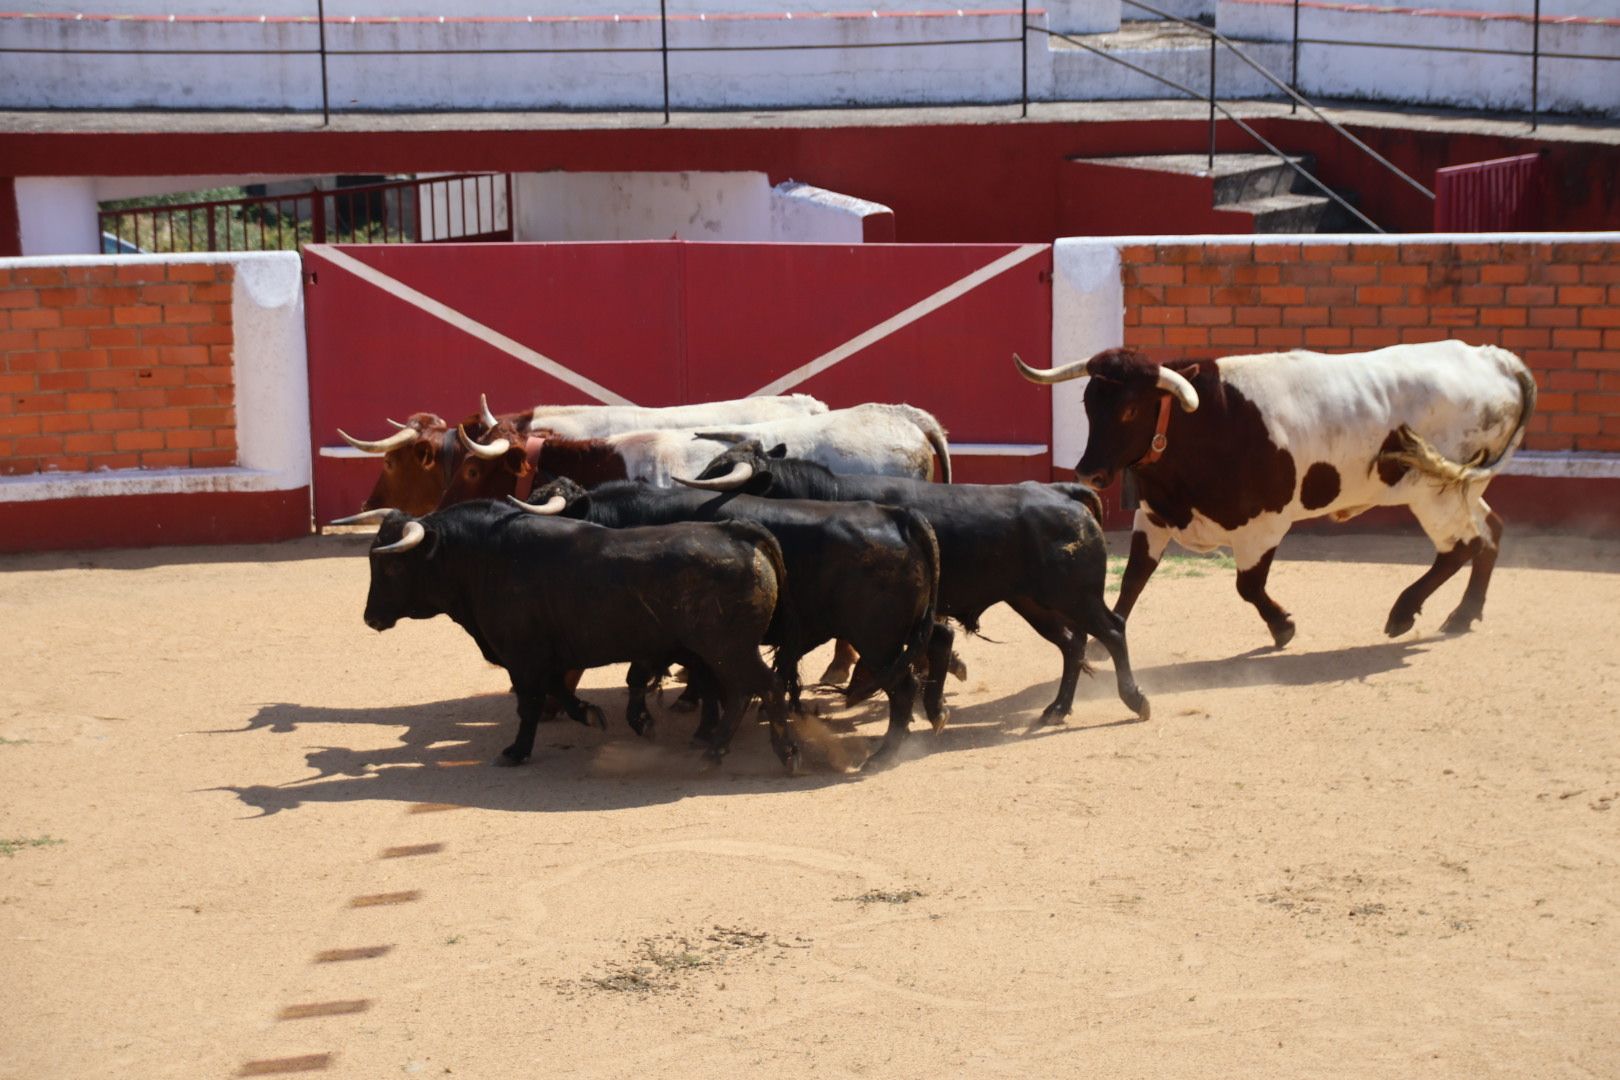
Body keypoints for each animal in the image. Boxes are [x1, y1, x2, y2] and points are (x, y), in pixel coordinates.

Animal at [354, 501, 790, 764]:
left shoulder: (522, 657)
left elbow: (529, 703)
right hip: (721, 652)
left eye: (391, 566)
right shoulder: (549, 655)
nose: (370, 618)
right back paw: (715, 746)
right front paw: (590, 714)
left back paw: (781, 754)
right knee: (740, 691)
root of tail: (735, 530)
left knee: (763, 687)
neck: (483, 558)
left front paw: (516, 751)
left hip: (729, 649)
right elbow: (558, 690)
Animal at [518, 476, 946, 764]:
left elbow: (646, 675)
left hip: (878, 639)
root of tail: (897, 516)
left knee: (903, 686)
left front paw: (657, 722)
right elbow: (706, 681)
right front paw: (706, 725)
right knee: (937, 639)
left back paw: (885, 753)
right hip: (903, 631)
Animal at [683, 443, 1153, 731]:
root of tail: (1065, 492)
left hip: (1076, 596)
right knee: (1073, 644)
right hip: (1033, 601)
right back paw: (1056, 709)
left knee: (1111, 630)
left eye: (720, 471)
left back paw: (1134, 700)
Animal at [1017, 340, 1535, 641]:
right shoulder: (1156, 516)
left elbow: (1248, 585)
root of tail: (1496, 359)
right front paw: (1108, 636)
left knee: (1462, 546)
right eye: (1088, 403)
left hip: (1434, 493)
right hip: (1464, 489)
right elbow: (1134, 577)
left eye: (1128, 410)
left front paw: (1283, 626)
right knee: (1490, 532)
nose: (1088, 473)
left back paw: (1403, 613)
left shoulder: (1262, 526)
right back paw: (1464, 615)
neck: (1207, 422)